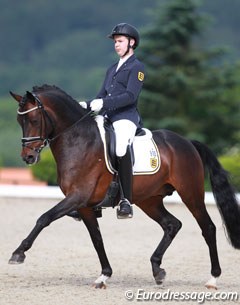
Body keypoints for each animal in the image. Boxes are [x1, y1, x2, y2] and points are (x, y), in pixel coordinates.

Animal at [8, 83, 240, 288]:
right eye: (19, 120)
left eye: (34, 119)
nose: (28, 157)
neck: (78, 140)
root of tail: (188, 143)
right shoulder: (84, 206)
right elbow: (97, 239)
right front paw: (104, 275)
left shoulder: (77, 196)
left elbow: (44, 218)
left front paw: (18, 253)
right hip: (149, 200)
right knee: (172, 224)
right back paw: (157, 270)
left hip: (190, 193)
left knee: (208, 228)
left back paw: (213, 278)